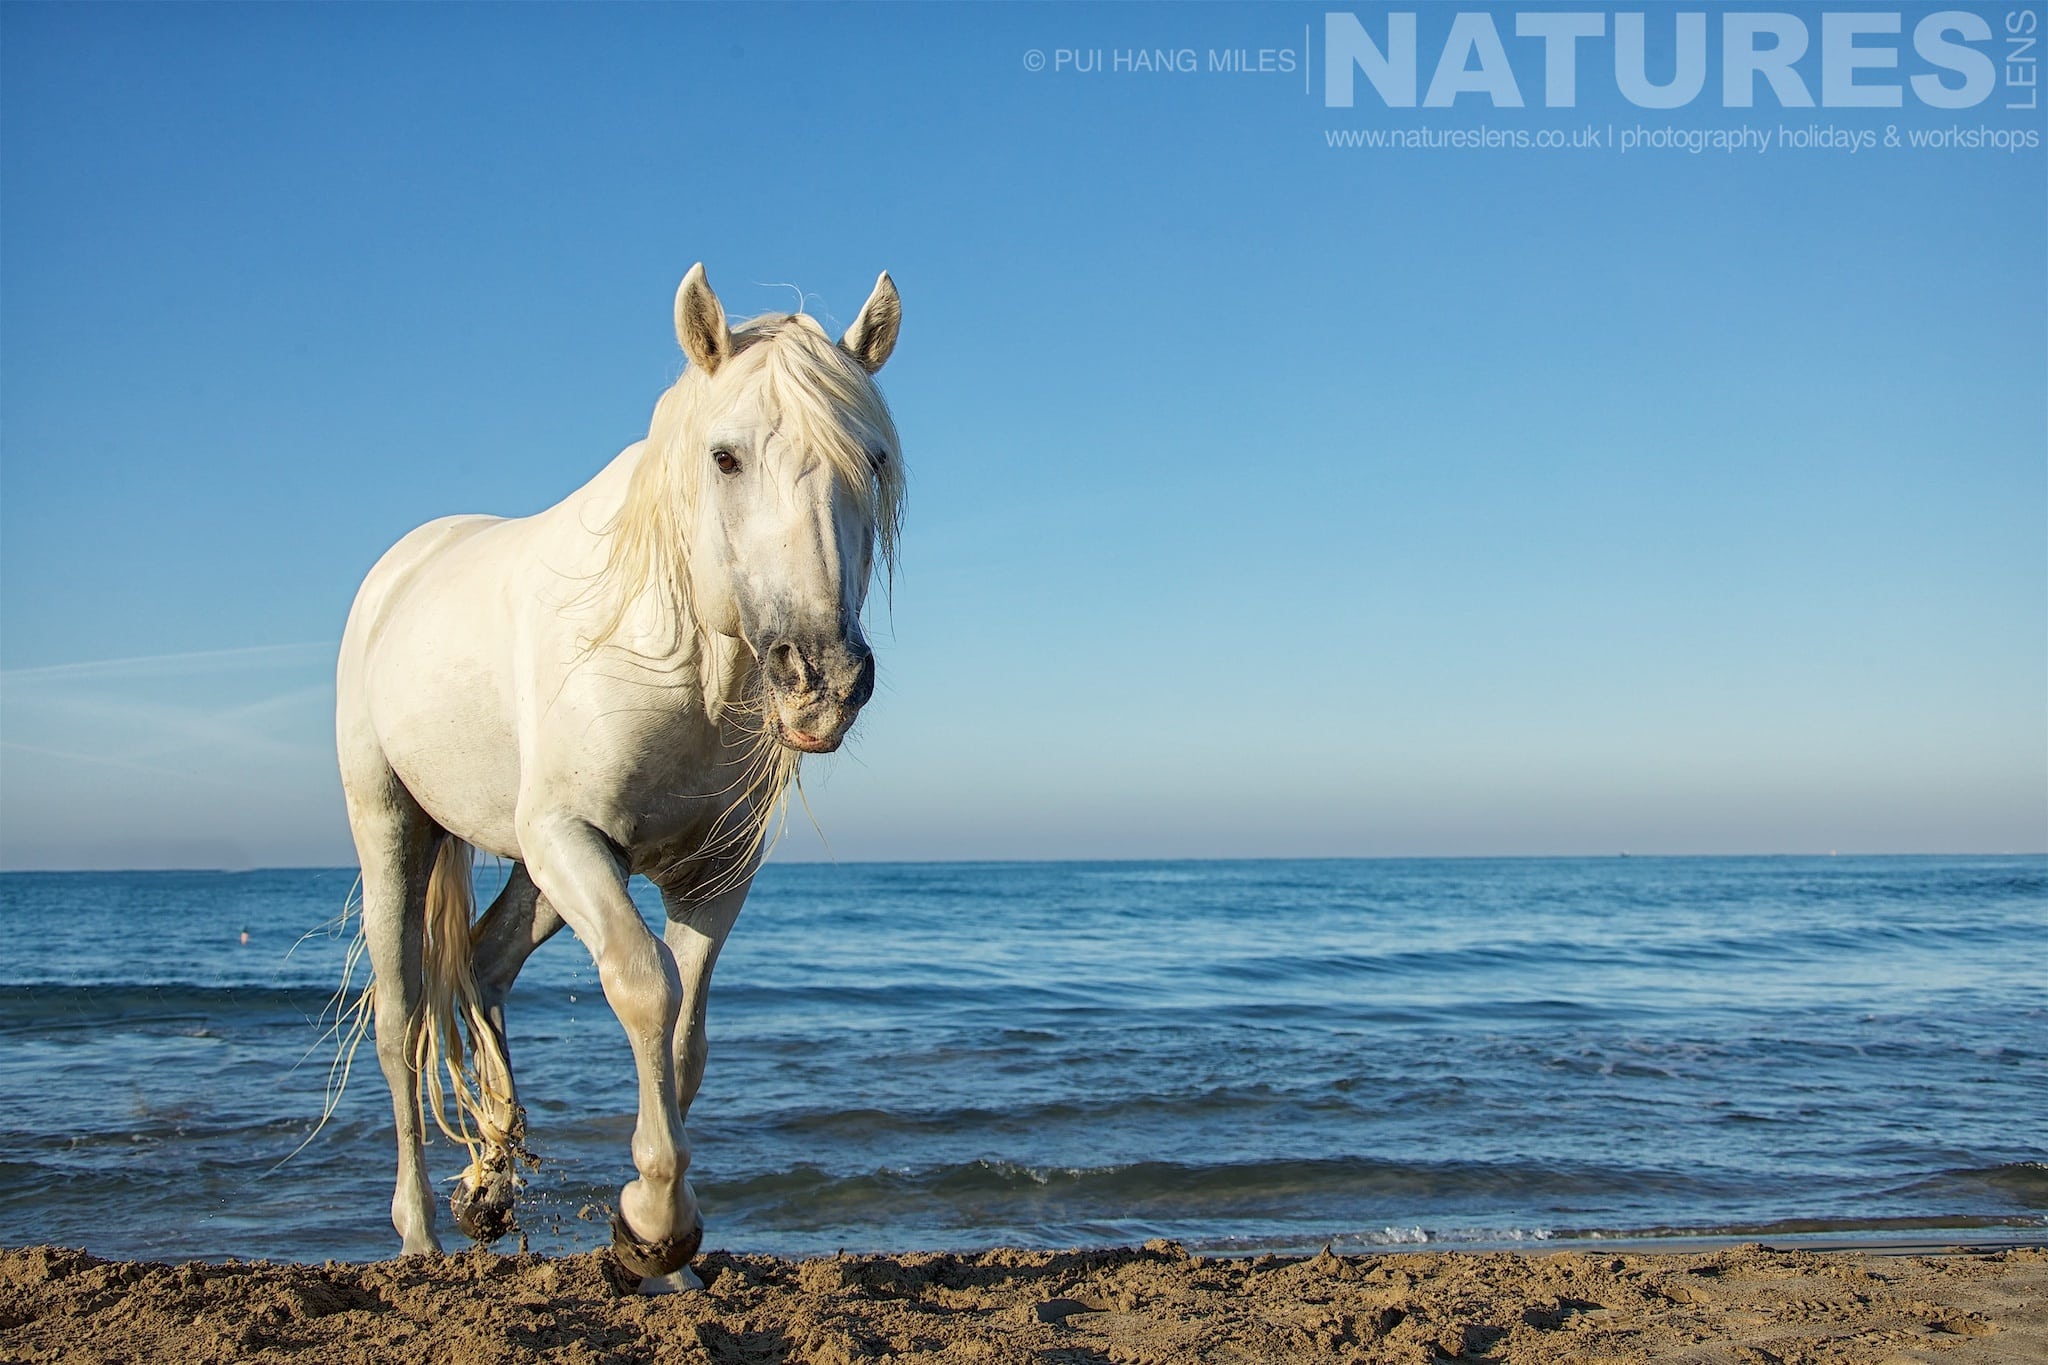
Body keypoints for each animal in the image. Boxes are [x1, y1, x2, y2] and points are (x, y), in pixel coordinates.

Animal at [334, 263, 904, 1291]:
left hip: (540, 868)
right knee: (401, 1018)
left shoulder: (710, 873)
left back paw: (489, 1182)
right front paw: (654, 1225)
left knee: (483, 961)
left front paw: (662, 1258)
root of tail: (405, 563)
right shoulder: (571, 837)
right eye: (725, 457)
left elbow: (683, 1041)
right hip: (396, 828)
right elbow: (646, 987)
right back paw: (420, 1231)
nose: (823, 679)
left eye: (873, 461)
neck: (679, 661)